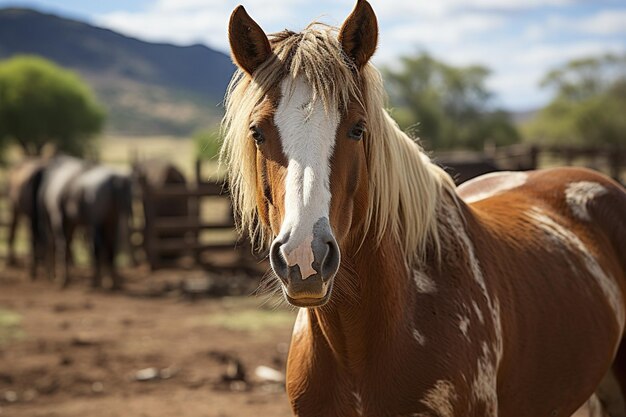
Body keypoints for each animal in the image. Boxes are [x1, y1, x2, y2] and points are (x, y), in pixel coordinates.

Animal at [37, 154, 133, 288]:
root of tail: (115, 180)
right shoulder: (72, 223)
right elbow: (67, 245)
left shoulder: (59, 219)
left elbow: (62, 245)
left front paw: (62, 278)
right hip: (110, 223)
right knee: (109, 247)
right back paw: (111, 282)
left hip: (96, 224)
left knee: (96, 247)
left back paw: (96, 281)